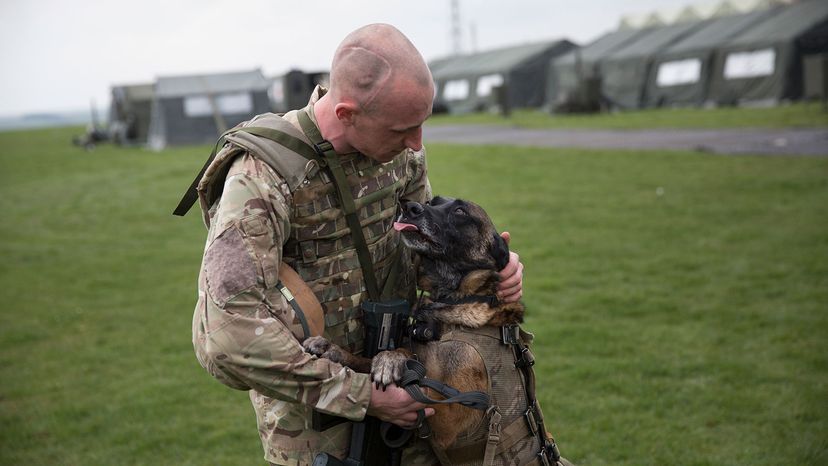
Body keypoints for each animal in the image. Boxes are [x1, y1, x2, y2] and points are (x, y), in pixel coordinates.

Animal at [304, 196, 532, 456]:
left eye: (460, 211)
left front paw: (393, 359)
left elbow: (418, 383)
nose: (409, 207)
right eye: (432, 201)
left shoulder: (449, 421)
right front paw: (333, 349)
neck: (453, 304)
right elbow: (370, 361)